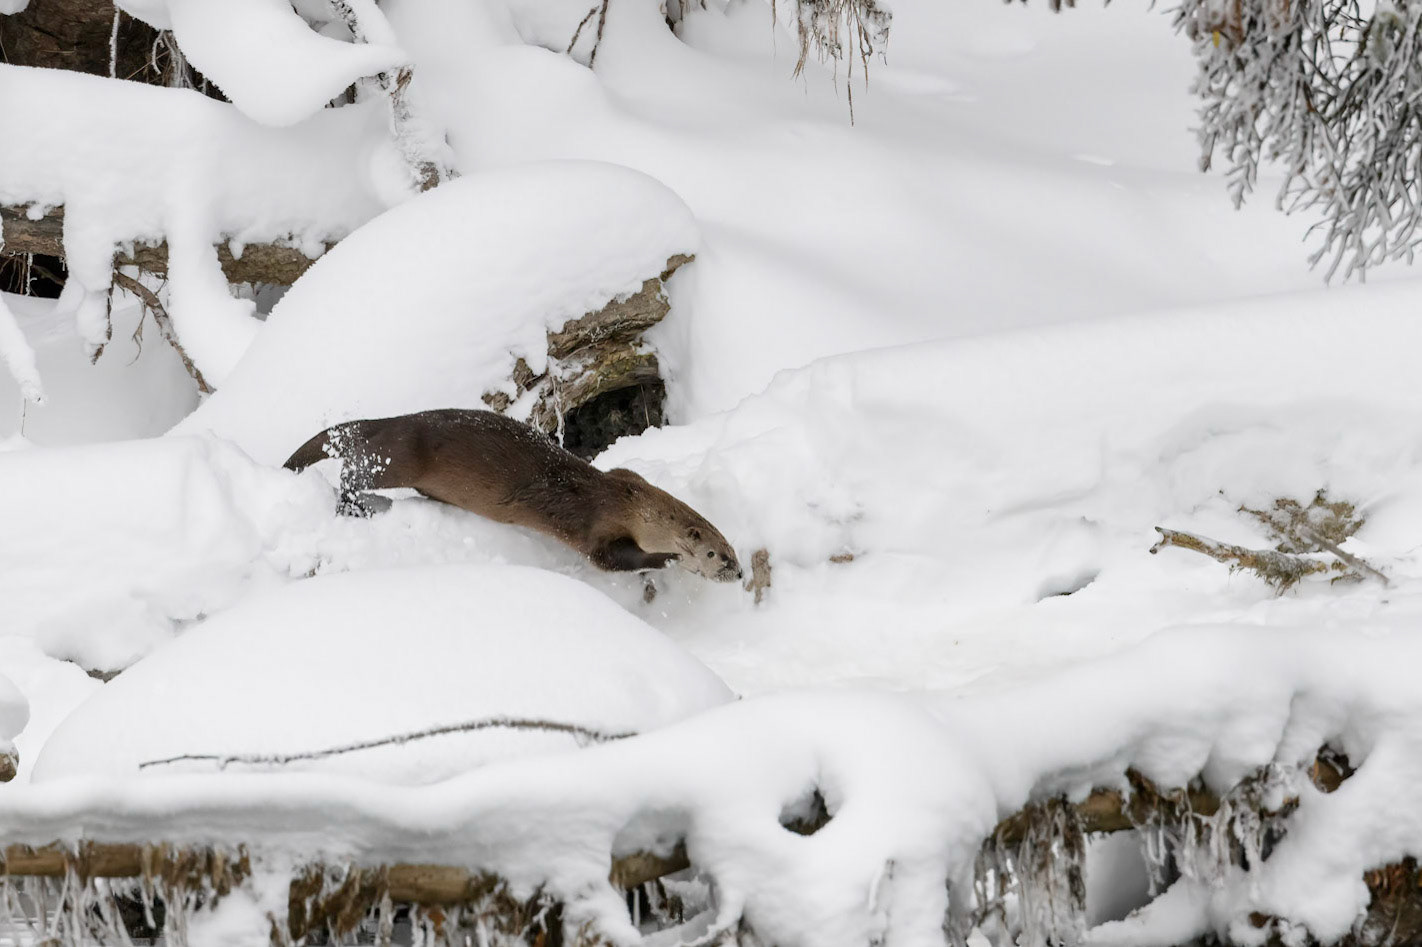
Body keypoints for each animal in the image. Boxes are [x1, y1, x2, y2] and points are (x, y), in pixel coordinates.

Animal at [283, 408, 742, 581]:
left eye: (733, 551)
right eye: (717, 554)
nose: (738, 574)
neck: (632, 504)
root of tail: (394, 419)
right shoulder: (598, 527)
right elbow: (610, 559)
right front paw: (667, 559)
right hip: (400, 456)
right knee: (352, 475)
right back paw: (357, 506)